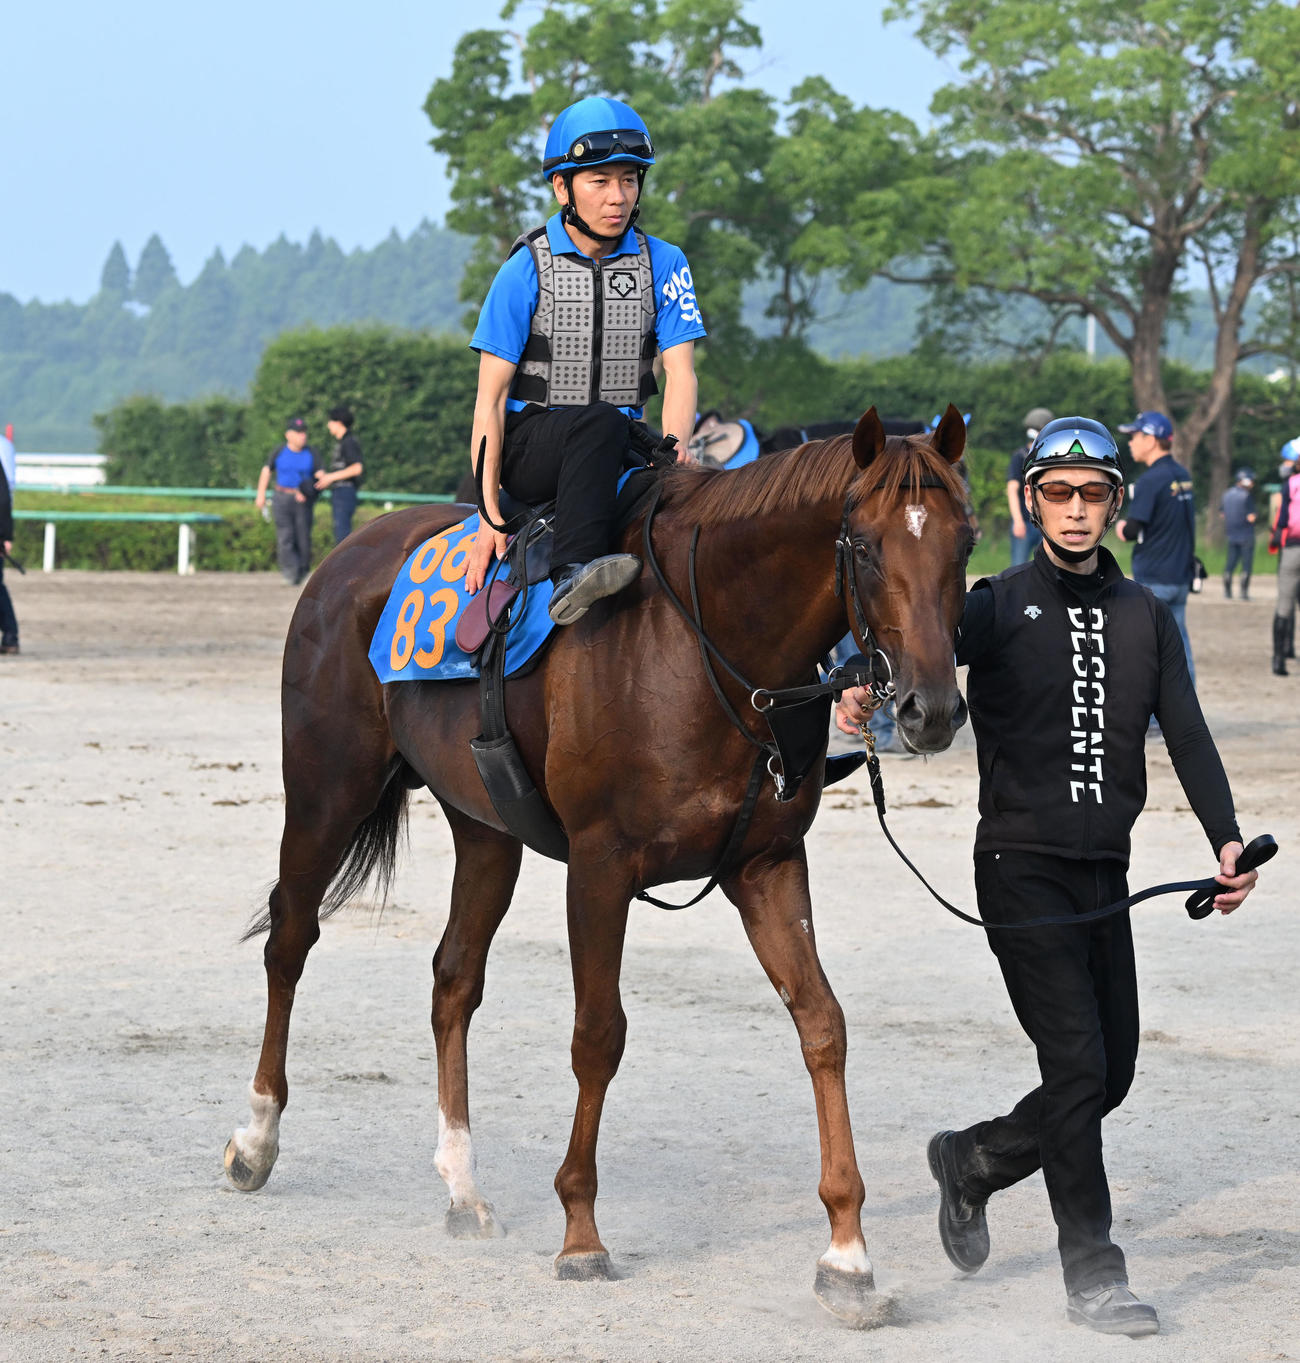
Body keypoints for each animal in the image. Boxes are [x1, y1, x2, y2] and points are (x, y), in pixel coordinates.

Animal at [224, 404, 973, 1327]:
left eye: (965, 542)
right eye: (865, 547)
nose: (930, 708)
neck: (700, 644)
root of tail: (348, 556)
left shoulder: (766, 863)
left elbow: (822, 1024)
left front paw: (848, 1254)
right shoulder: (600, 866)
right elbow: (598, 1035)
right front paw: (580, 1231)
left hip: (485, 829)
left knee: (453, 979)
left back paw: (462, 1185)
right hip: (327, 790)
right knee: (289, 939)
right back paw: (256, 1136)